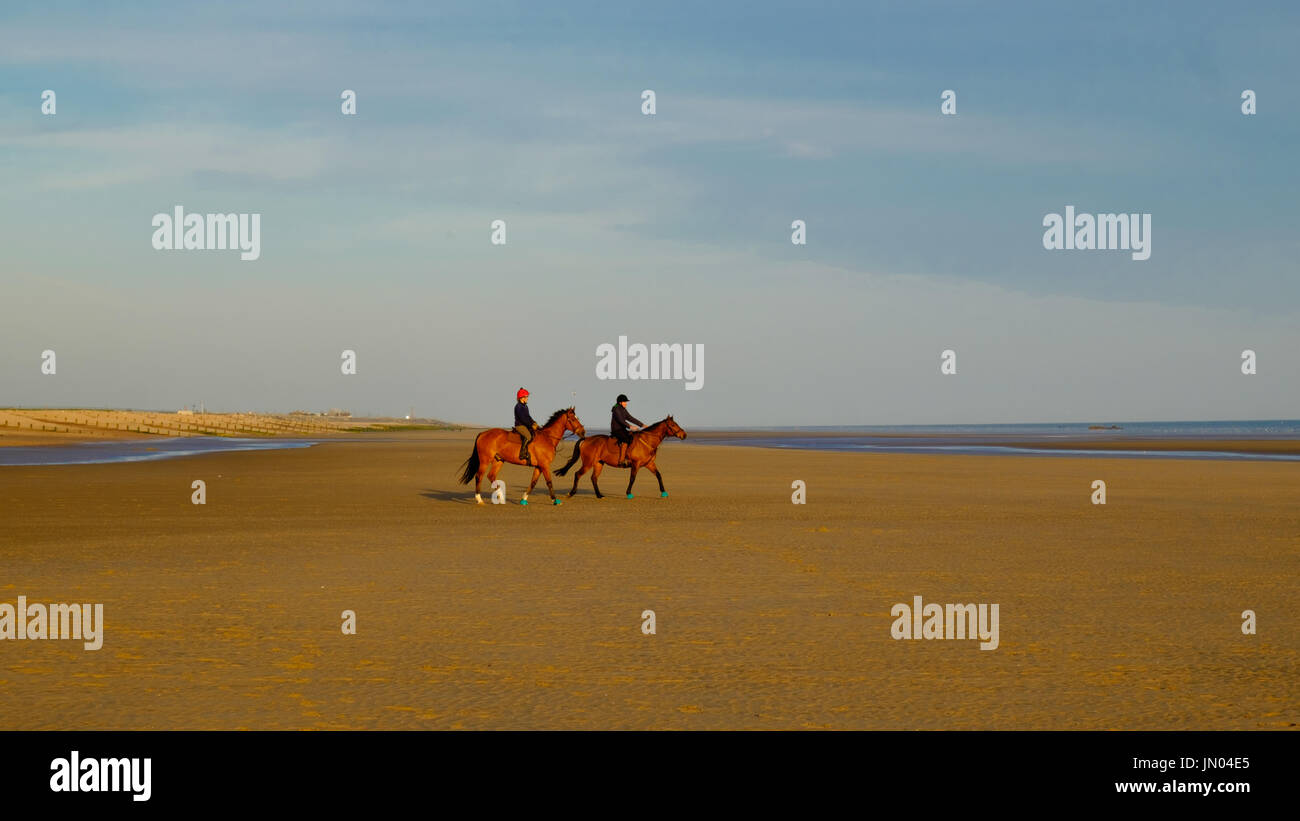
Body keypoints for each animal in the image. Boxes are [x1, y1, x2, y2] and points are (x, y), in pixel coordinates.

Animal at [454, 407, 582, 504]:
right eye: (572, 419)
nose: (583, 431)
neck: (548, 438)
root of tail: (483, 433)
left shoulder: (539, 466)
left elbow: (533, 482)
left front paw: (524, 499)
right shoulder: (545, 465)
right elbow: (549, 482)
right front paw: (555, 500)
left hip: (499, 460)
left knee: (491, 476)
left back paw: (500, 497)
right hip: (485, 461)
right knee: (479, 476)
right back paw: (479, 499)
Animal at [553, 415, 686, 501]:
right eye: (673, 425)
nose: (684, 435)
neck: (647, 441)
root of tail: (586, 439)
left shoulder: (649, 464)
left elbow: (658, 475)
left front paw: (664, 492)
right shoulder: (636, 464)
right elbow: (632, 479)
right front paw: (629, 494)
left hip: (599, 463)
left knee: (594, 478)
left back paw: (599, 495)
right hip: (588, 463)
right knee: (578, 474)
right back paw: (571, 493)